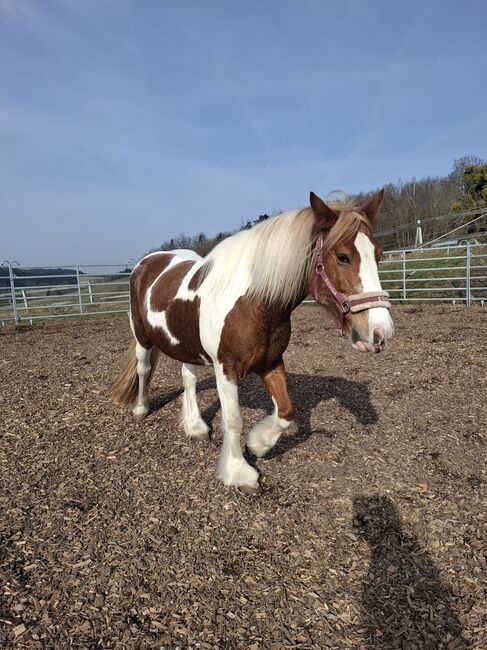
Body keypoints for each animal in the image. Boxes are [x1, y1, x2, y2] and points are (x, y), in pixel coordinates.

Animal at [111, 190, 394, 493]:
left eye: (378, 254)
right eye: (342, 257)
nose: (381, 331)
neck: (255, 301)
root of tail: (145, 263)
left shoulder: (271, 362)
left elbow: (286, 411)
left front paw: (258, 445)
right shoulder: (226, 369)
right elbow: (233, 420)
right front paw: (239, 472)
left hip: (184, 344)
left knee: (188, 379)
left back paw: (196, 426)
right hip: (142, 338)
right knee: (143, 369)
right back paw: (141, 409)